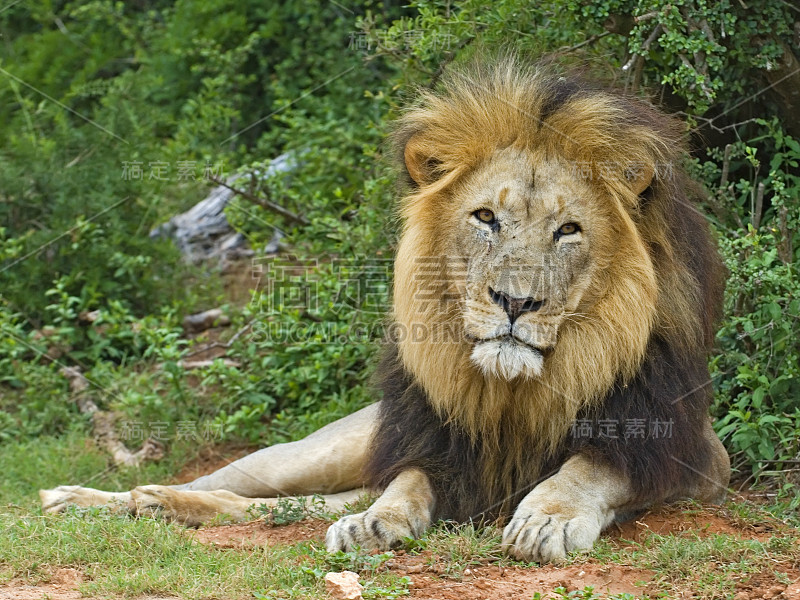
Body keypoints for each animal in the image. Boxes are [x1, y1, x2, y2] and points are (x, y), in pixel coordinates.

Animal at [42, 58, 732, 564]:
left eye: (568, 231)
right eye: (486, 217)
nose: (515, 301)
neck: (516, 394)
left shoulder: (695, 459)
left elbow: (590, 467)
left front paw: (546, 518)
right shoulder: (427, 445)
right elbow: (407, 483)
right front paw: (377, 522)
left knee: (274, 507)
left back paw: (155, 506)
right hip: (314, 451)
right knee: (231, 482)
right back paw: (84, 499)